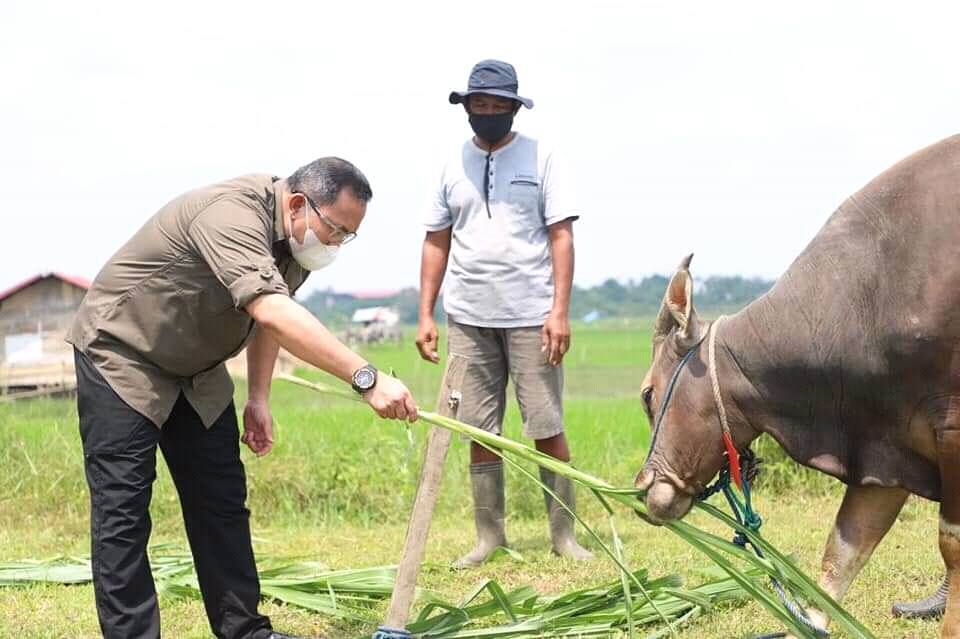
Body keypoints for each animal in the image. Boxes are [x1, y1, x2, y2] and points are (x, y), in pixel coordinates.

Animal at [632, 132, 960, 636]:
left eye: (648, 394)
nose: (645, 485)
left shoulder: (951, 430)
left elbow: (951, 545)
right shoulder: (886, 444)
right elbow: (844, 549)